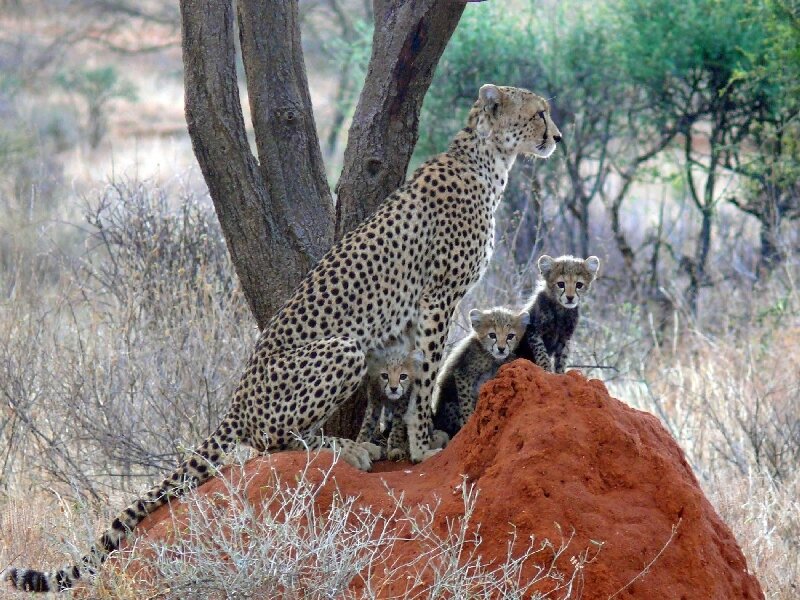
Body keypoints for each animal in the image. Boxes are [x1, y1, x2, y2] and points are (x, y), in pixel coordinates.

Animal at [432, 307, 529, 438]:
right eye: (492, 335)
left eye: (510, 336)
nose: (501, 349)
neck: (491, 357)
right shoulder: (463, 374)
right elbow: (466, 402)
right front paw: (468, 423)